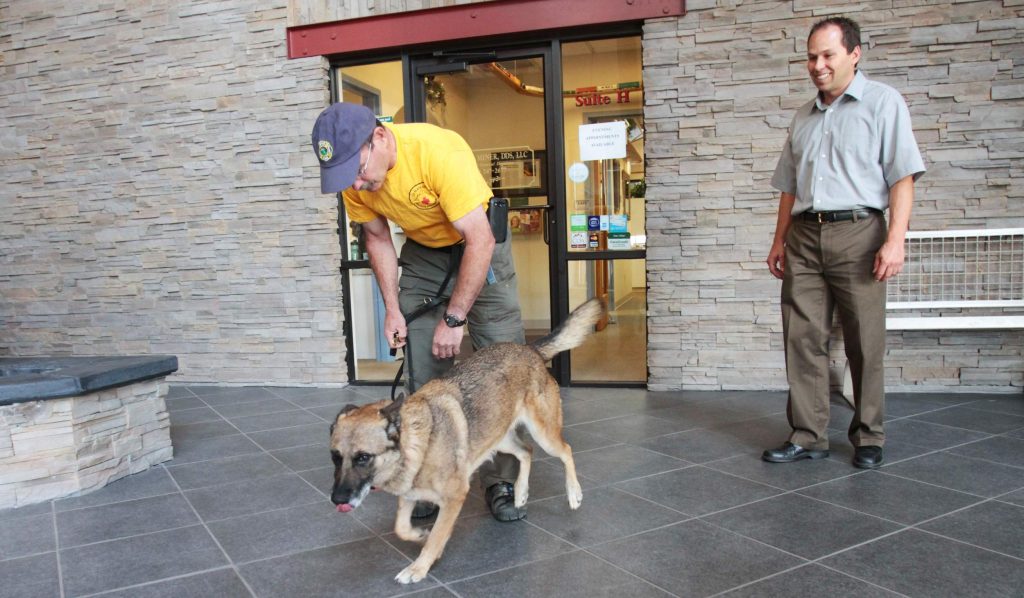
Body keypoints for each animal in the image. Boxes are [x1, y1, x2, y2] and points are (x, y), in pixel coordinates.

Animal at [327, 299, 602, 585]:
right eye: (335, 456)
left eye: (363, 457)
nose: (336, 500)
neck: (419, 442)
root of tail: (530, 349)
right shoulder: (409, 495)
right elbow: (401, 527)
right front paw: (419, 534)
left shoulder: (454, 497)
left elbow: (437, 537)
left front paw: (419, 567)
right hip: (496, 438)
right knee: (526, 451)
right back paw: (520, 493)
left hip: (543, 433)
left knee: (565, 450)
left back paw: (573, 493)